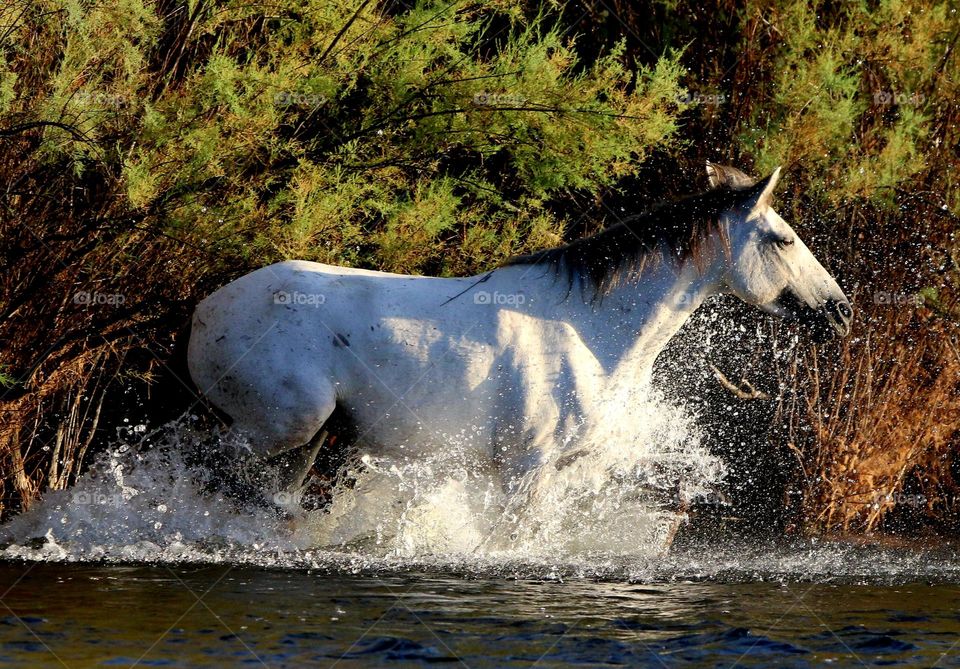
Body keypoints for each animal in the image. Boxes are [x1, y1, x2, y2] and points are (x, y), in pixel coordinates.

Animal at [187, 163, 852, 501]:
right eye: (782, 239)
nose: (841, 311)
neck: (590, 333)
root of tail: (203, 312)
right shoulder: (525, 467)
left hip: (307, 443)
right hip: (280, 428)